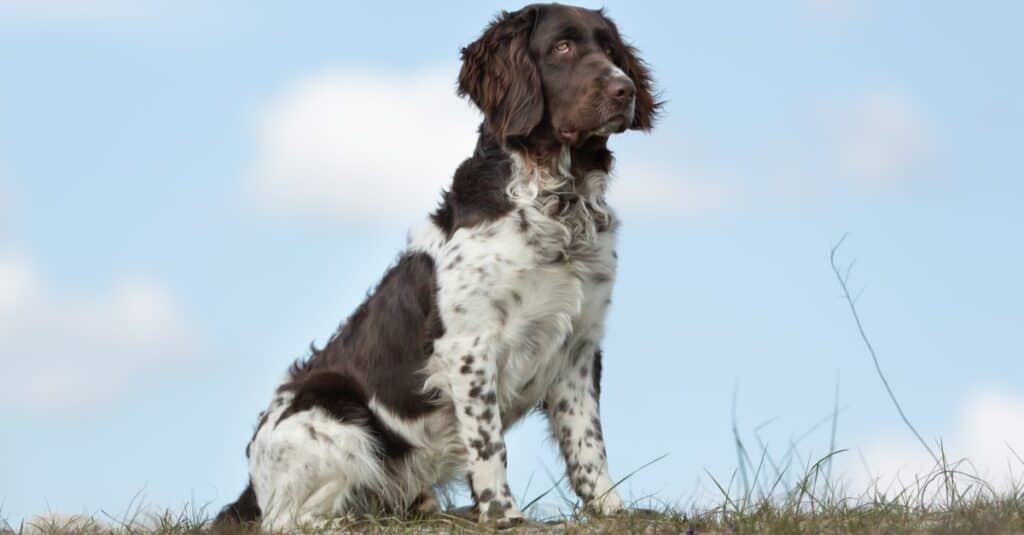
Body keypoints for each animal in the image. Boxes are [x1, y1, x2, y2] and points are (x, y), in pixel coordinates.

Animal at [217, 3, 659, 528]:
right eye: (562, 47)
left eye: (611, 51)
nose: (623, 90)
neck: (554, 205)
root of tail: (252, 490)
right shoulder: (468, 346)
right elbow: (489, 445)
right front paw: (503, 516)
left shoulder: (579, 344)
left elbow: (588, 442)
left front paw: (613, 510)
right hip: (333, 415)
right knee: (291, 519)